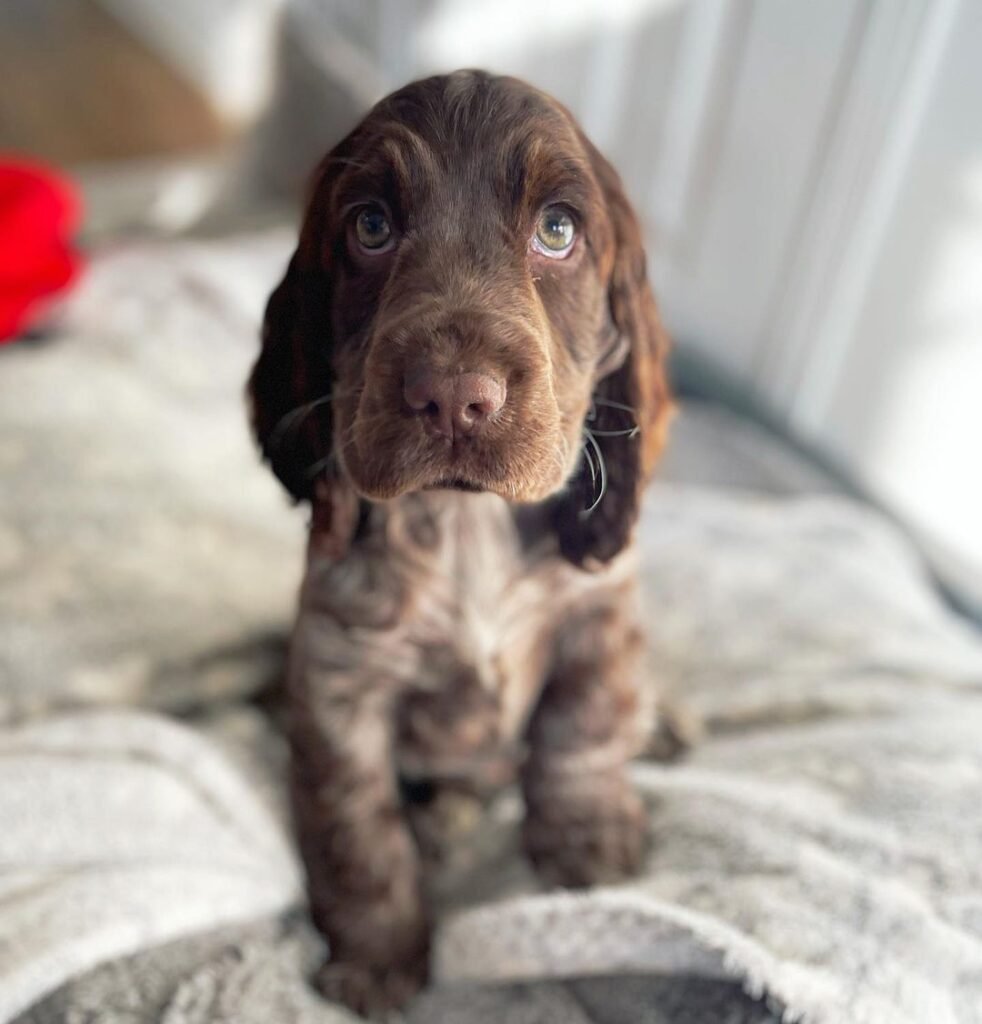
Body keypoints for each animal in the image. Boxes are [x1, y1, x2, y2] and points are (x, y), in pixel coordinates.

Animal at [249, 70, 671, 1015]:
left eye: (558, 230)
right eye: (371, 225)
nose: (453, 397)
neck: (467, 524)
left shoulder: (601, 612)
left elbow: (583, 727)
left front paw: (588, 841)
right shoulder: (339, 679)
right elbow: (357, 827)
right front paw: (377, 958)